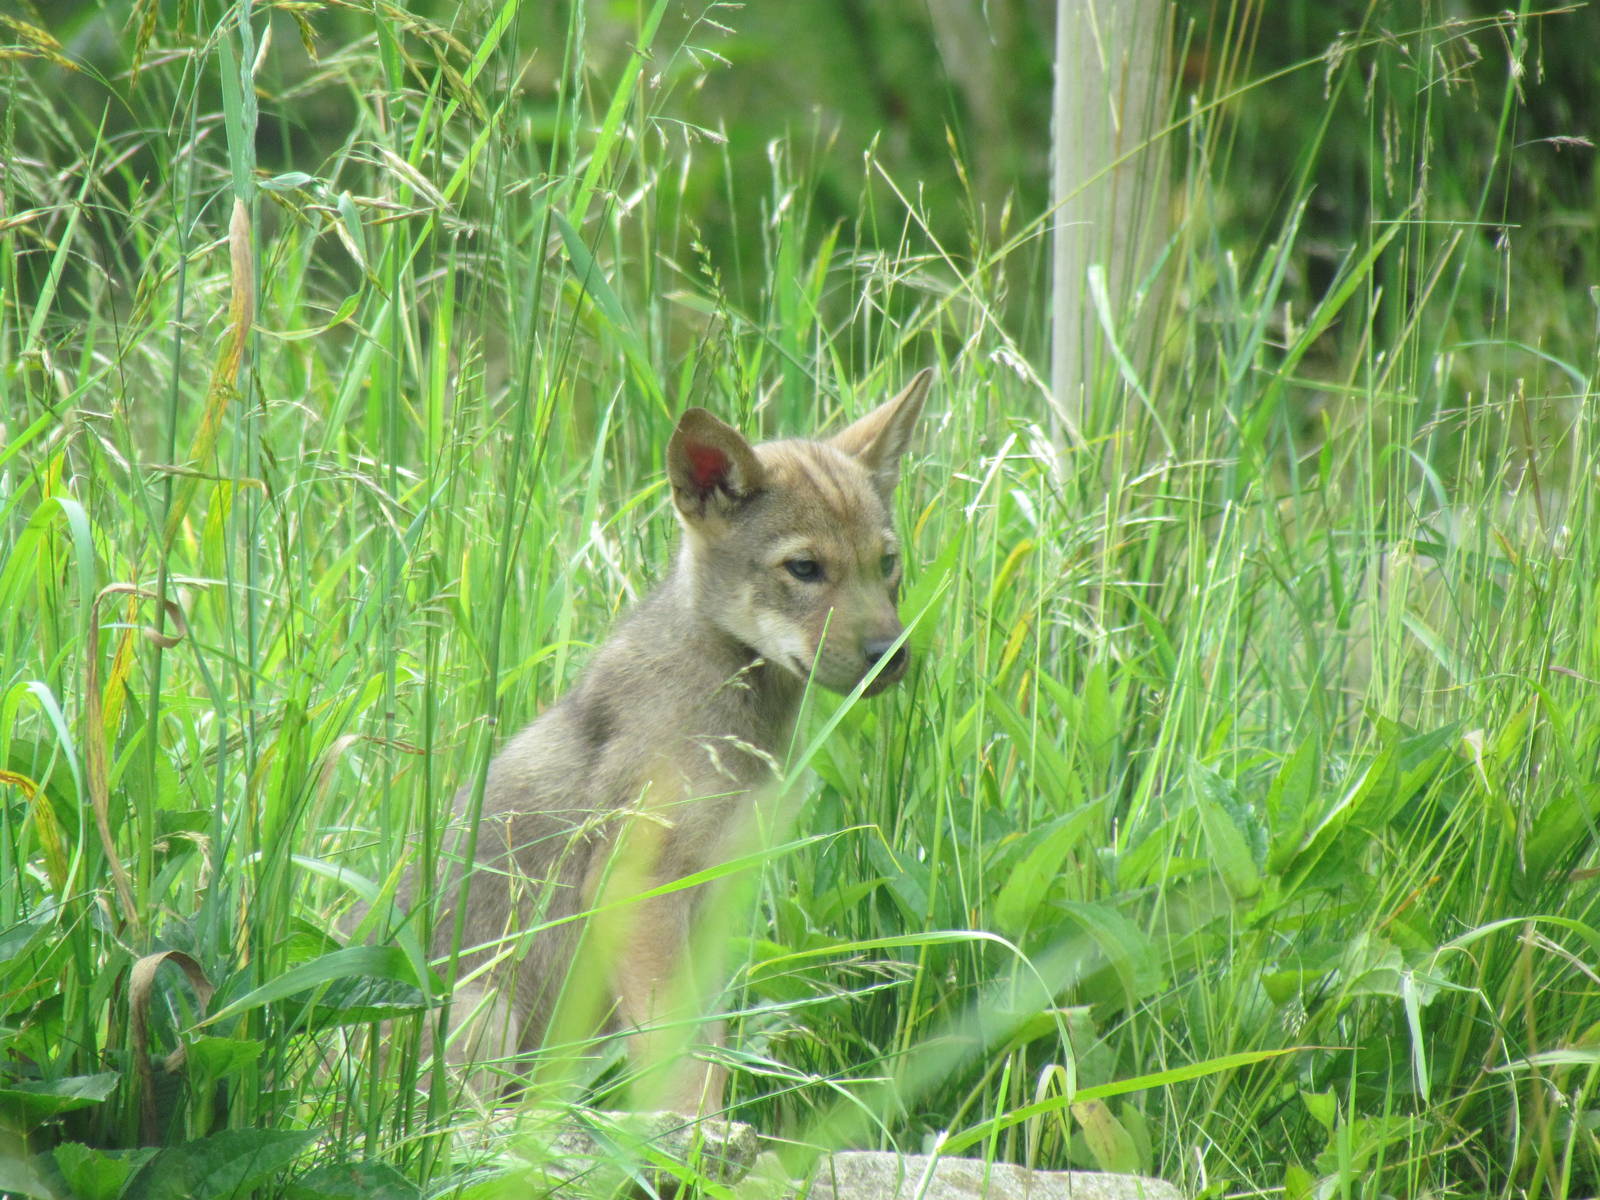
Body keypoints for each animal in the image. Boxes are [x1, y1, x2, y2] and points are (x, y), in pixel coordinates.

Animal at [430, 369, 932, 1114]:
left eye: (887, 563)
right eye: (804, 568)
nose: (890, 655)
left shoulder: (714, 900)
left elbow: (707, 1054)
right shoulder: (638, 891)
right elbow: (679, 1066)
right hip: (483, 1015)